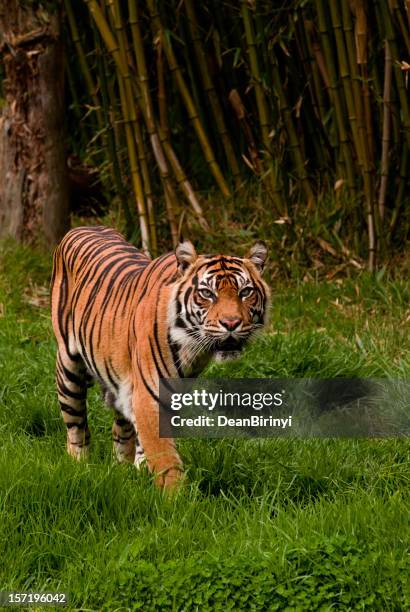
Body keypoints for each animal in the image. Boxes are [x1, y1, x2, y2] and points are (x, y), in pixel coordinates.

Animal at [50, 227, 270, 490]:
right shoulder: (149, 395)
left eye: (245, 292)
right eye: (207, 293)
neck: (194, 349)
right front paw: (176, 497)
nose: (231, 323)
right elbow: (164, 457)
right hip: (68, 369)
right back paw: (79, 466)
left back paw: (123, 471)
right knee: (76, 427)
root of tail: (82, 228)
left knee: (121, 429)